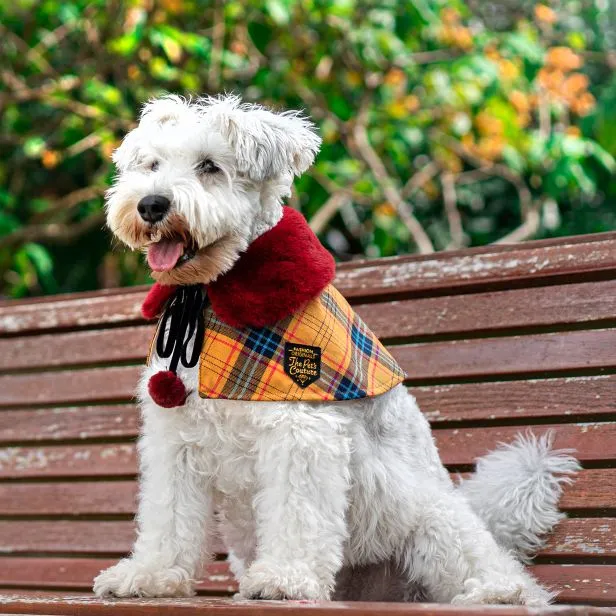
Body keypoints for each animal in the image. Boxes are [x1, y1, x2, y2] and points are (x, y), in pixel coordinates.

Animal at [92, 94, 576, 604]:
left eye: (209, 166)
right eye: (151, 165)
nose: (151, 204)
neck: (208, 300)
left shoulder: (300, 430)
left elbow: (297, 513)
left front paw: (285, 577)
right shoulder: (176, 439)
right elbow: (168, 518)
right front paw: (151, 575)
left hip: (435, 525)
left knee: (501, 574)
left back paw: (500, 592)